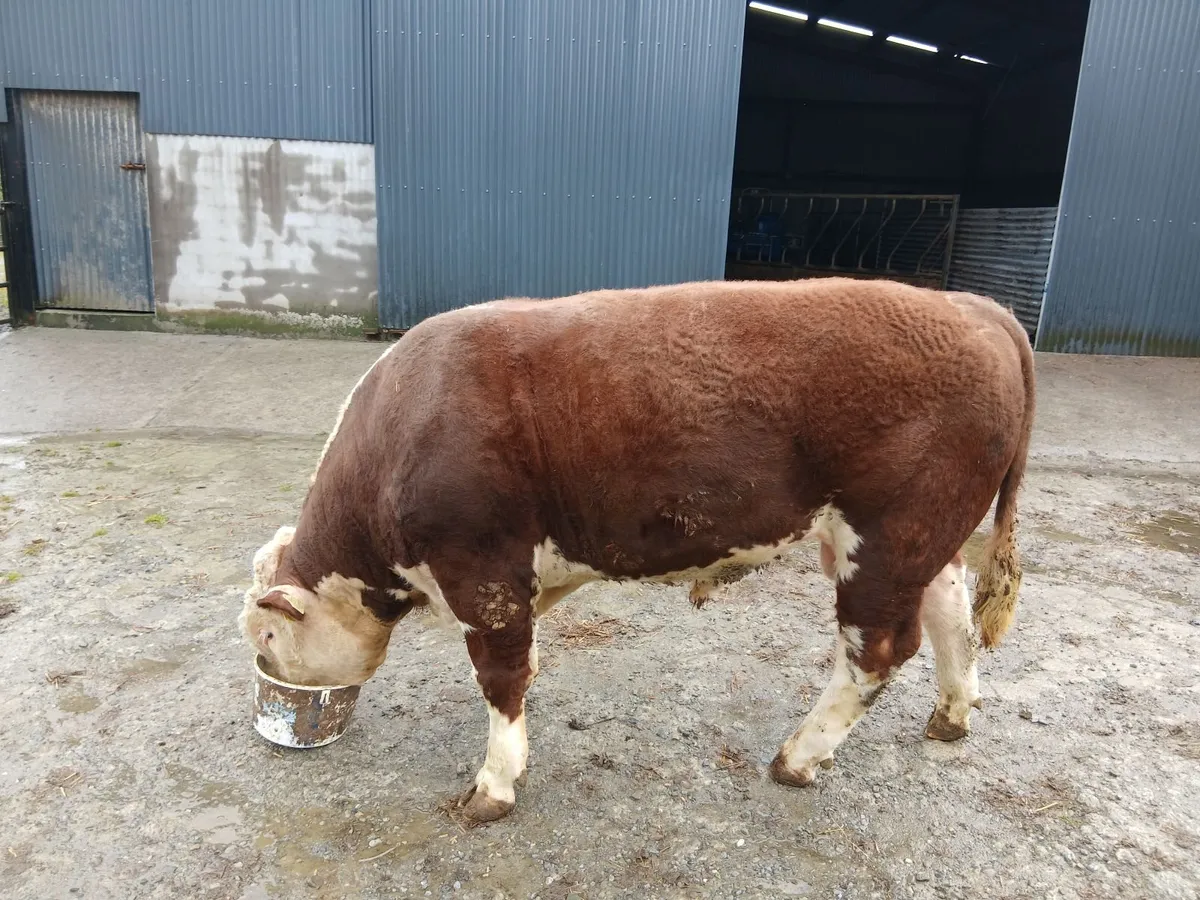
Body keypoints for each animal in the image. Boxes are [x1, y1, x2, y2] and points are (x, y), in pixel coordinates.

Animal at [240, 277, 1035, 824]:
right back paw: (952, 715)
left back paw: (799, 757)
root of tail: (972, 307)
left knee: (877, 651)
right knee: (950, 611)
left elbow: (501, 678)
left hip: (888, 537)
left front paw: (493, 786)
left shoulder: (482, 572)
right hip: (925, 537)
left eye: (266, 638)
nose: (268, 674)